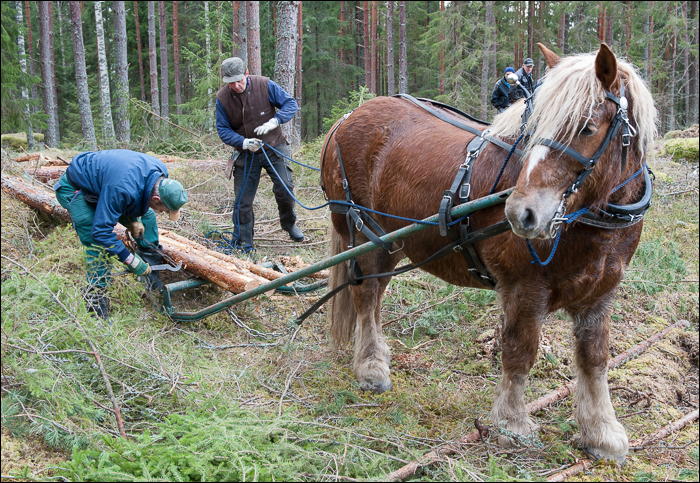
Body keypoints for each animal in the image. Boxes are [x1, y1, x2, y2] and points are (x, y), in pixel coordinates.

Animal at [320, 43, 660, 464]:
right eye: (534, 127)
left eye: (587, 128)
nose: (521, 213)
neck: (591, 221)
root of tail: (347, 118)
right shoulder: (524, 287)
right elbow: (519, 353)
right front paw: (512, 426)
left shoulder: (602, 291)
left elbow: (595, 358)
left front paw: (601, 432)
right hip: (363, 233)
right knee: (365, 296)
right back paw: (370, 368)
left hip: (389, 243)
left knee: (375, 294)